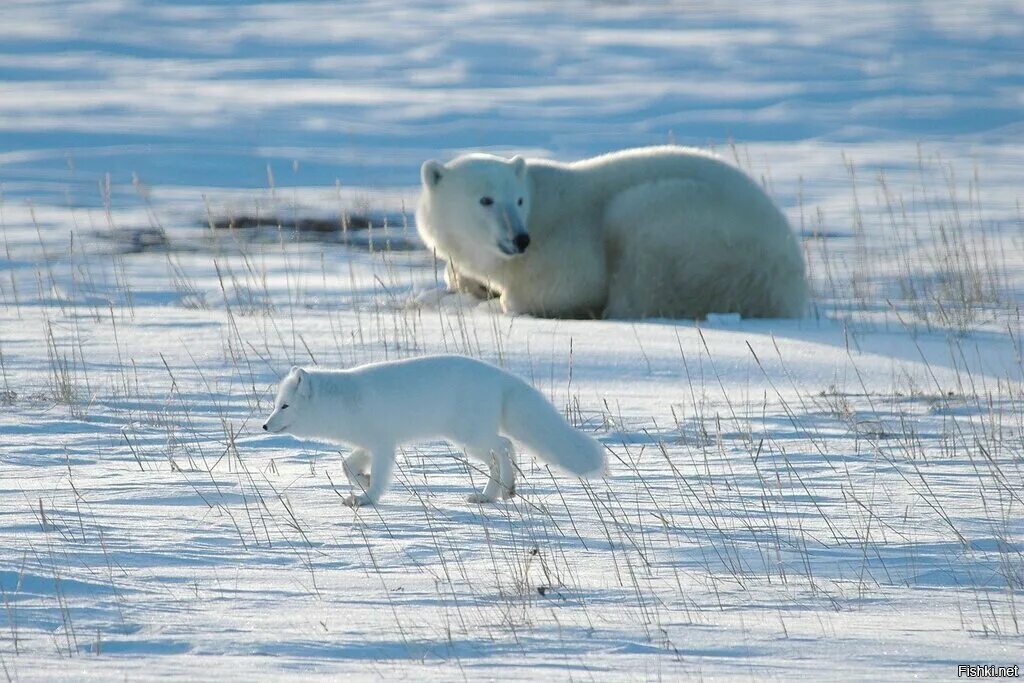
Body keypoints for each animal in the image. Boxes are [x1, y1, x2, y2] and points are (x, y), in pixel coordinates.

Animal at [260, 358, 606, 507]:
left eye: (285, 406)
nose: (265, 425)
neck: (344, 402)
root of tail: (501, 376)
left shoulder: (384, 445)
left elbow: (379, 477)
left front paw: (368, 497)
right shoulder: (368, 445)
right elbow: (347, 465)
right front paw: (363, 482)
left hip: (470, 438)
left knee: (505, 446)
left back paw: (504, 488)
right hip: (471, 442)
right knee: (500, 452)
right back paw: (491, 495)